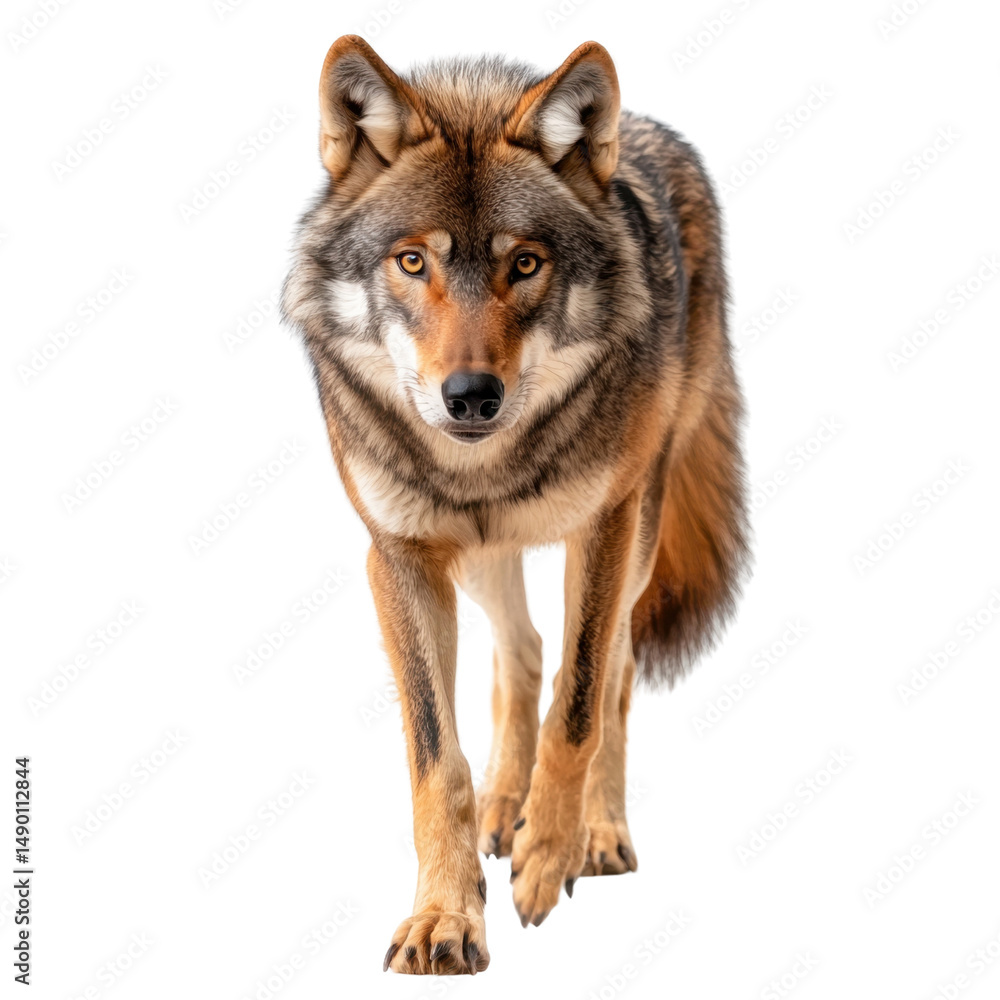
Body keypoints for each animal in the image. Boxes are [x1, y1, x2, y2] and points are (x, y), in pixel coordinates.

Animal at [282, 35, 750, 975]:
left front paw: (546, 857)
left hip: (640, 528)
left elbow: (579, 705)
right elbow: (438, 760)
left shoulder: (605, 527)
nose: (470, 396)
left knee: (611, 673)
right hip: (485, 557)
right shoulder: (398, 556)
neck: (486, 466)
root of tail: (651, 129)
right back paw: (506, 804)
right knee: (524, 650)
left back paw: (593, 833)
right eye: (413, 261)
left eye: (524, 263)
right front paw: (445, 915)